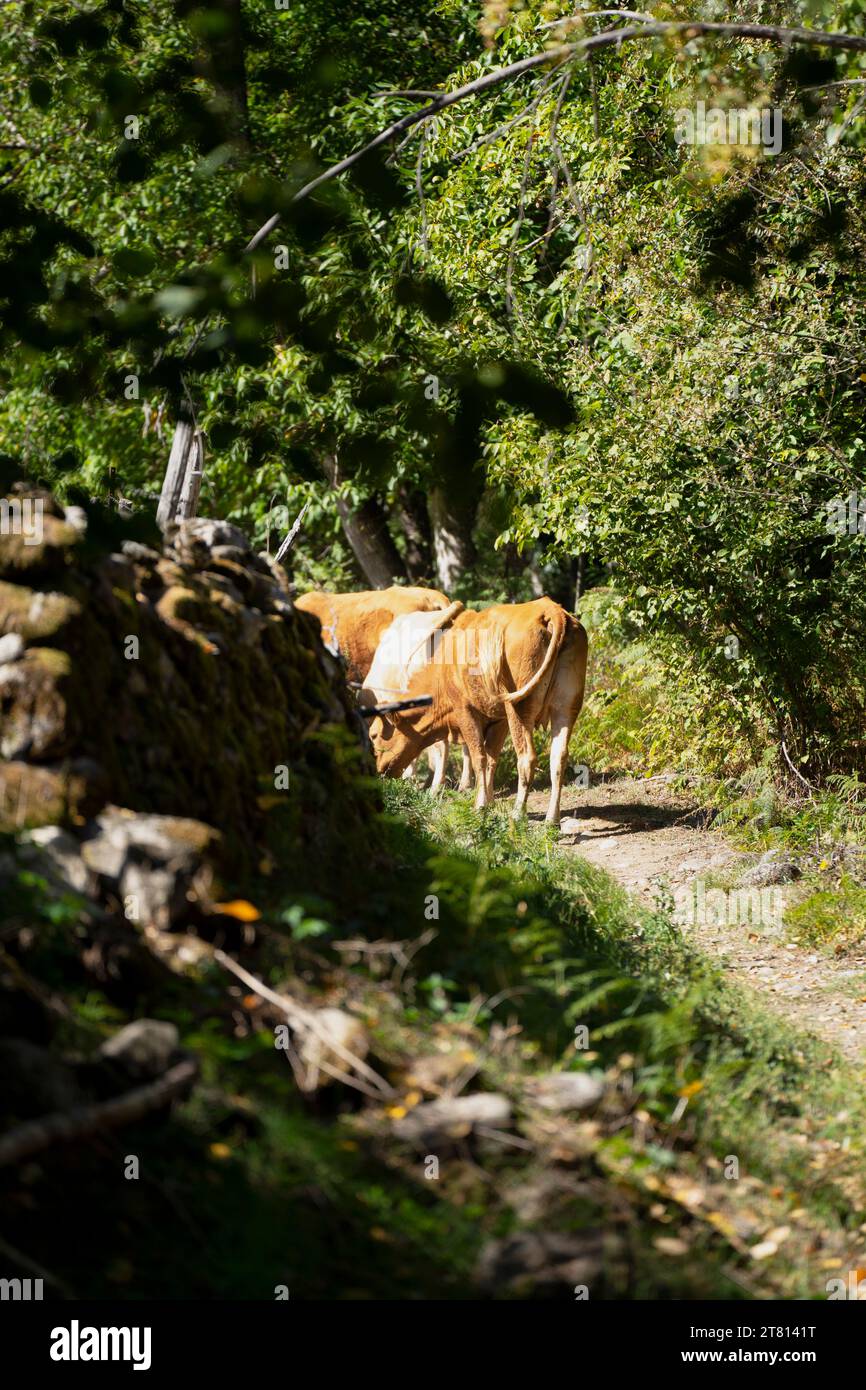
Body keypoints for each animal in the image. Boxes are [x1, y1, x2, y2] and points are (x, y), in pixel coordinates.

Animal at [361, 592, 592, 817]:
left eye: (374, 735)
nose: (378, 771)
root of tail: (549, 609)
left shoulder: (465, 710)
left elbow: (478, 756)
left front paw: (480, 805)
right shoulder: (499, 719)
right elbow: (491, 758)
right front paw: (489, 802)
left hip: (520, 708)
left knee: (527, 758)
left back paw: (518, 813)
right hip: (566, 707)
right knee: (558, 757)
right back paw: (552, 818)